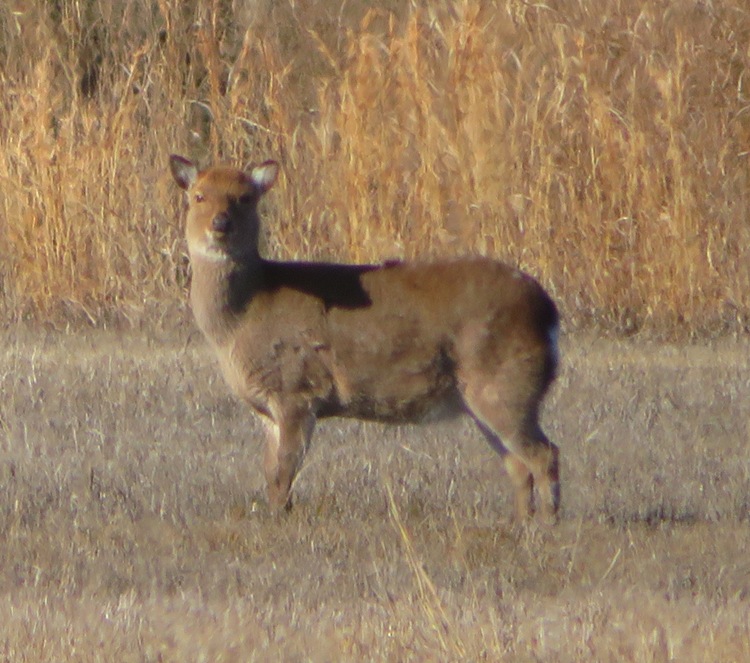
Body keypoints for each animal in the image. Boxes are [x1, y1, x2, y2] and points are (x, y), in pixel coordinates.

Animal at [167, 156, 560, 524]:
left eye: (246, 197)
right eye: (198, 196)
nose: (221, 224)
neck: (240, 321)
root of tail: (547, 310)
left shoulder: (298, 389)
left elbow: (284, 471)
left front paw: (278, 519)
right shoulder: (266, 407)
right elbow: (270, 471)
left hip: (505, 382)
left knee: (544, 454)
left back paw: (547, 524)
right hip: (486, 395)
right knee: (518, 463)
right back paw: (523, 522)